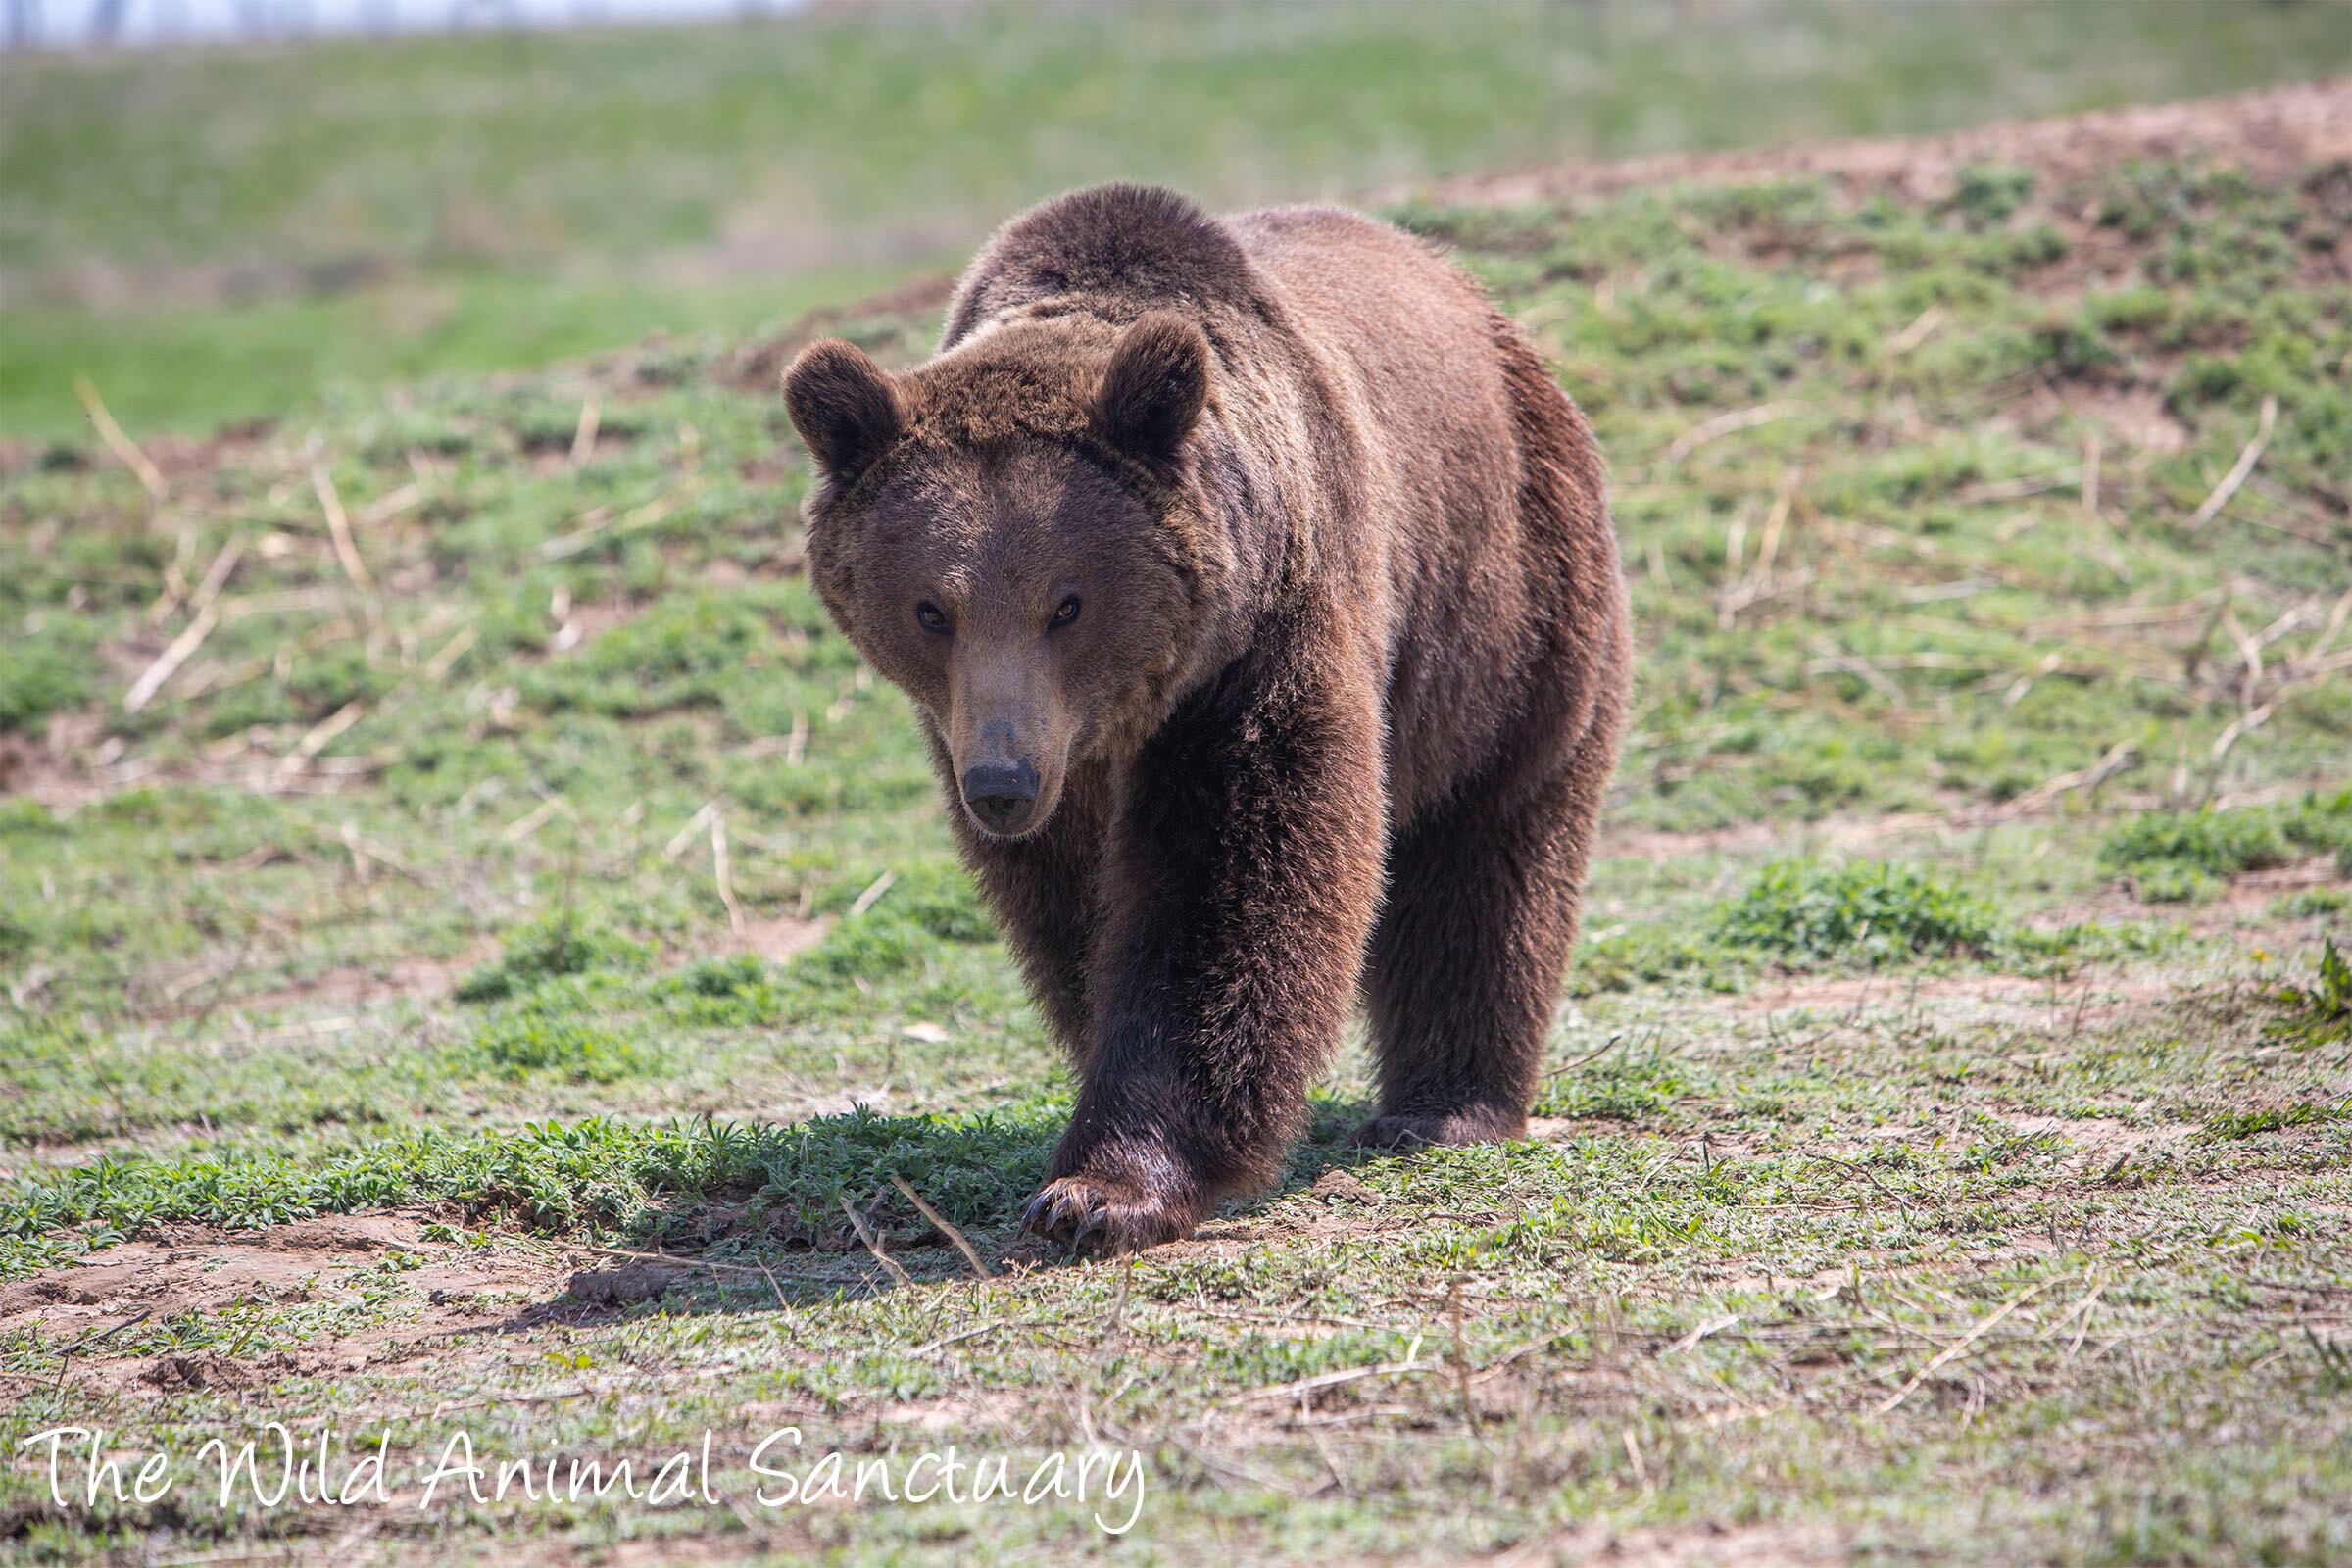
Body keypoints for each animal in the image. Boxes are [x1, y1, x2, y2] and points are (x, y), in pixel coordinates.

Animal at [780, 184, 1627, 1259]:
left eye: (1067, 603)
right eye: (932, 608)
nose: (1001, 786)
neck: (1118, 714)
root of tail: (1483, 307)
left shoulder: (1261, 639)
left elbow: (1226, 886)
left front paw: (1106, 1188)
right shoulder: (1007, 741)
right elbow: (1079, 911)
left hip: (1508, 611)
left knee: (1485, 855)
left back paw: (1443, 1106)